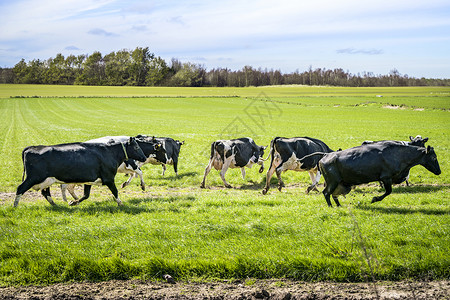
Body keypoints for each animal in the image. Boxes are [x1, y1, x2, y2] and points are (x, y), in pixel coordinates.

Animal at [13, 138, 146, 206]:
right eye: (136, 147)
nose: (144, 158)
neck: (109, 152)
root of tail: (32, 147)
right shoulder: (109, 178)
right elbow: (115, 191)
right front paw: (120, 203)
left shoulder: (89, 180)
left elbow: (86, 195)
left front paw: (74, 202)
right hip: (34, 177)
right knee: (20, 188)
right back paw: (15, 206)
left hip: (46, 180)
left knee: (45, 193)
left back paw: (56, 205)